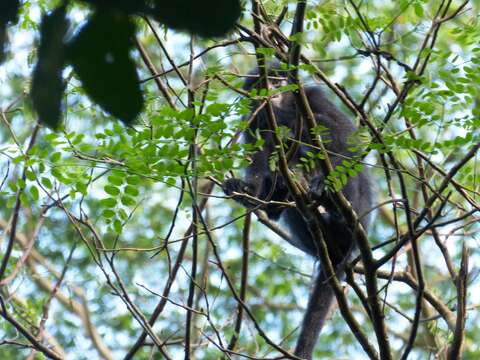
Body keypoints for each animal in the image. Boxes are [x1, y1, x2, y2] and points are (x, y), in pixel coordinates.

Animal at [223, 62, 374, 358]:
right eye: (263, 82)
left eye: (278, 80)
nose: (272, 89)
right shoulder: (251, 120)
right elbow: (258, 151)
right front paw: (248, 190)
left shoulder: (311, 96)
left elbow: (342, 137)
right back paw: (271, 201)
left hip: (358, 201)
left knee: (323, 136)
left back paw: (329, 198)